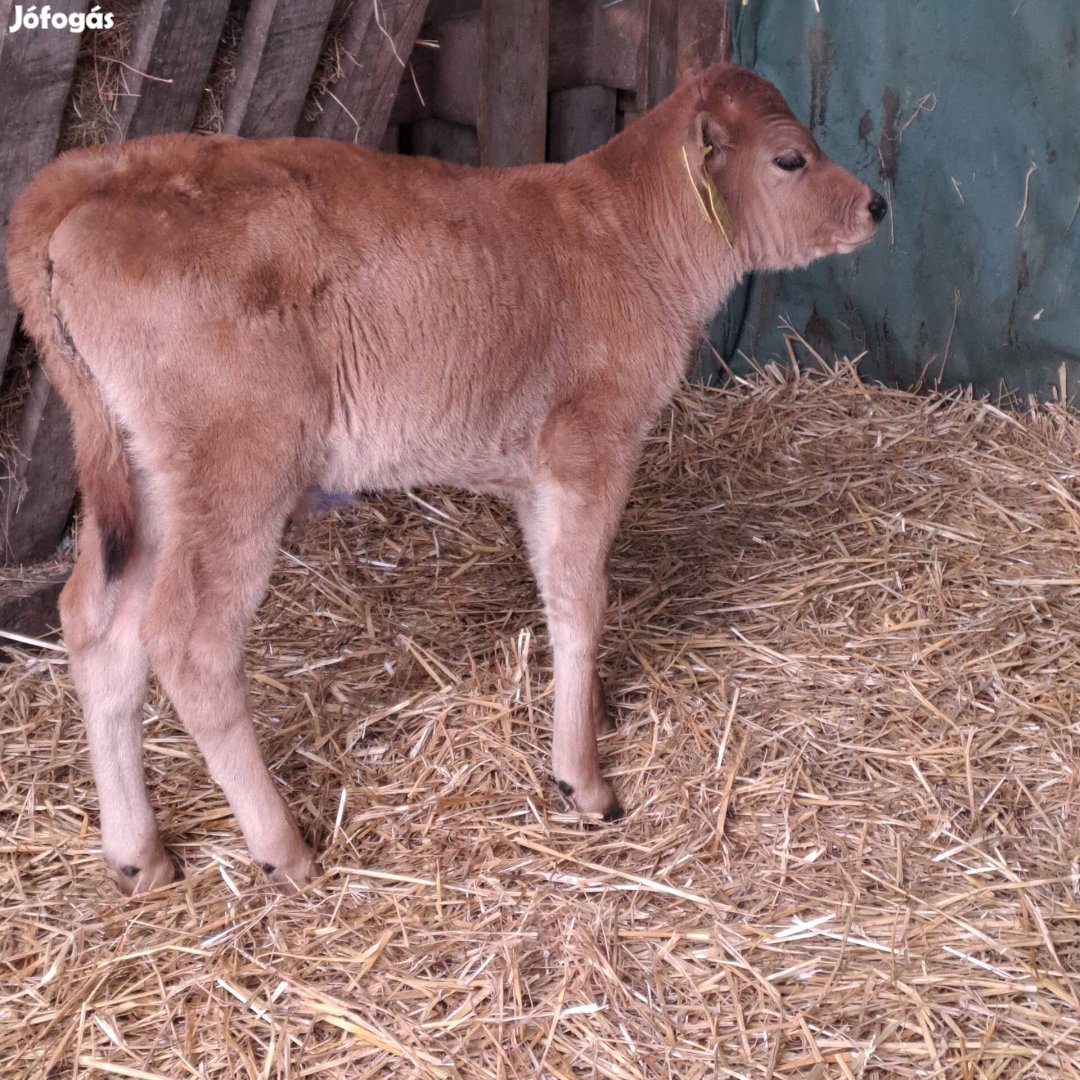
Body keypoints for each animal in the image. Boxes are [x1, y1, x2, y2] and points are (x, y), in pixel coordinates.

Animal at [8, 65, 881, 894]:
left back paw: (138, 856)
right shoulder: (591, 444)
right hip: (238, 463)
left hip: (144, 476)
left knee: (98, 623)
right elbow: (584, 600)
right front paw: (584, 780)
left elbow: (560, 594)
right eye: (791, 158)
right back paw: (280, 846)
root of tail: (92, 171)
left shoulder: (534, 473)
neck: (629, 233)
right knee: (187, 639)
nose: (876, 203)